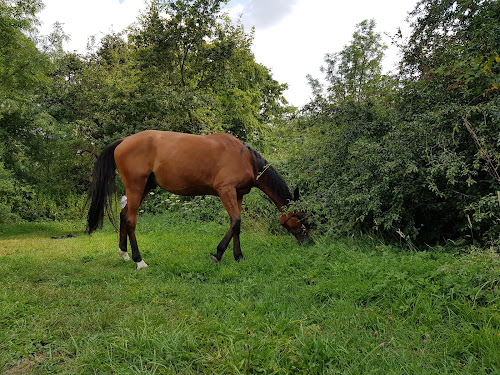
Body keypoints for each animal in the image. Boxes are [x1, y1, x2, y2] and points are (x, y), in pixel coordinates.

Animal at [87, 131, 306, 268]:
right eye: (301, 219)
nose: (308, 242)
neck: (245, 159)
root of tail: (123, 141)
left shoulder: (238, 194)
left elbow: (237, 224)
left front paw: (238, 256)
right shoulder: (225, 190)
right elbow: (235, 221)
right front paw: (218, 255)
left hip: (144, 187)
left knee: (124, 215)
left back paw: (123, 253)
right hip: (136, 186)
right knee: (131, 220)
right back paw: (139, 261)